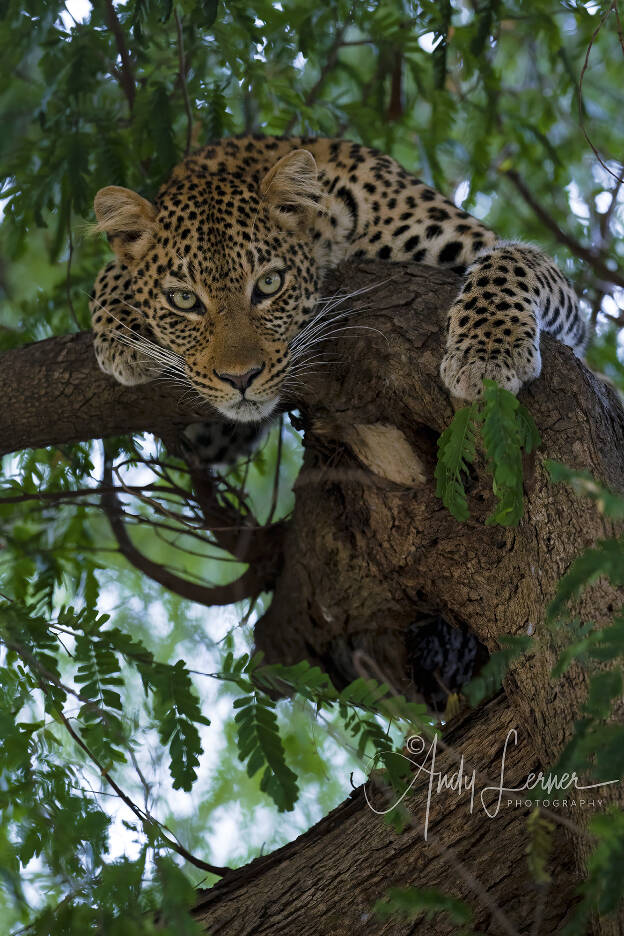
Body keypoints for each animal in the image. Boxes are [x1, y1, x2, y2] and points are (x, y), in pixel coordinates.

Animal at [90, 136, 586, 464]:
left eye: (268, 285)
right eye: (183, 300)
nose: (241, 378)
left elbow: (511, 258)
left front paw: (486, 355)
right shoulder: (213, 438)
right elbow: (108, 272)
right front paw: (122, 335)